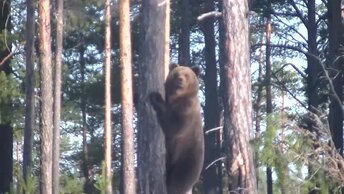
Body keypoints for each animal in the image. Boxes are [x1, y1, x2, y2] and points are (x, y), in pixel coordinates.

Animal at [148, 63, 203, 194]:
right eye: (177, 73)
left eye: (186, 75)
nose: (180, 80)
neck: (177, 97)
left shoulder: (186, 111)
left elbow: (173, 127)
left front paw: (155, 97)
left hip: (188, 157)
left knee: (178, 180)